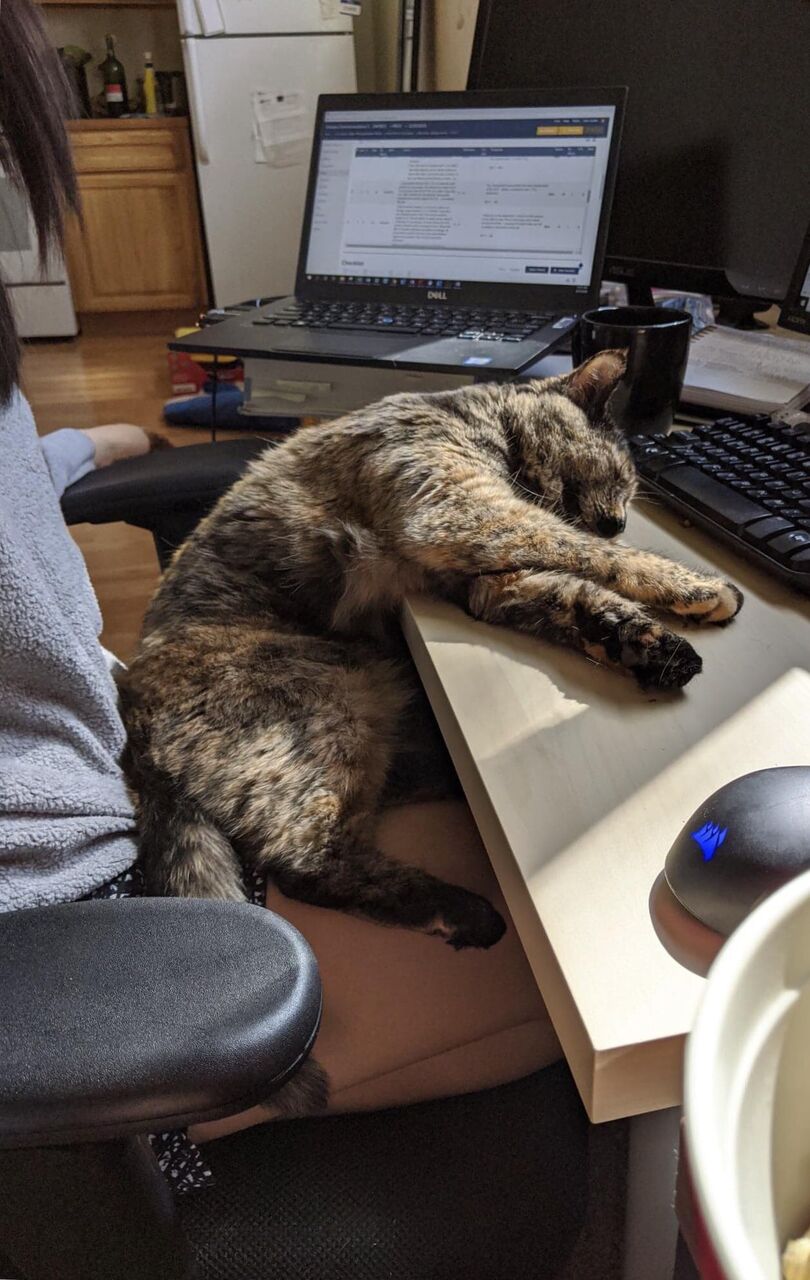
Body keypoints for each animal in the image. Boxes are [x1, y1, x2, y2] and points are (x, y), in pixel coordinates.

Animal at [118, 349, 743, 952]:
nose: (617, 522)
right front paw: (699, 588)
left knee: (374, 793)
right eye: (618, 476)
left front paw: (647, 644)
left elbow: (576, 597)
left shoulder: (490, 583)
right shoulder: (466, 513)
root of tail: (133, 724)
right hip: (326, 704)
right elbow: (587, 551)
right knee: (307, 863)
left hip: (364, 711)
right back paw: (466, 915)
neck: (477, 419)